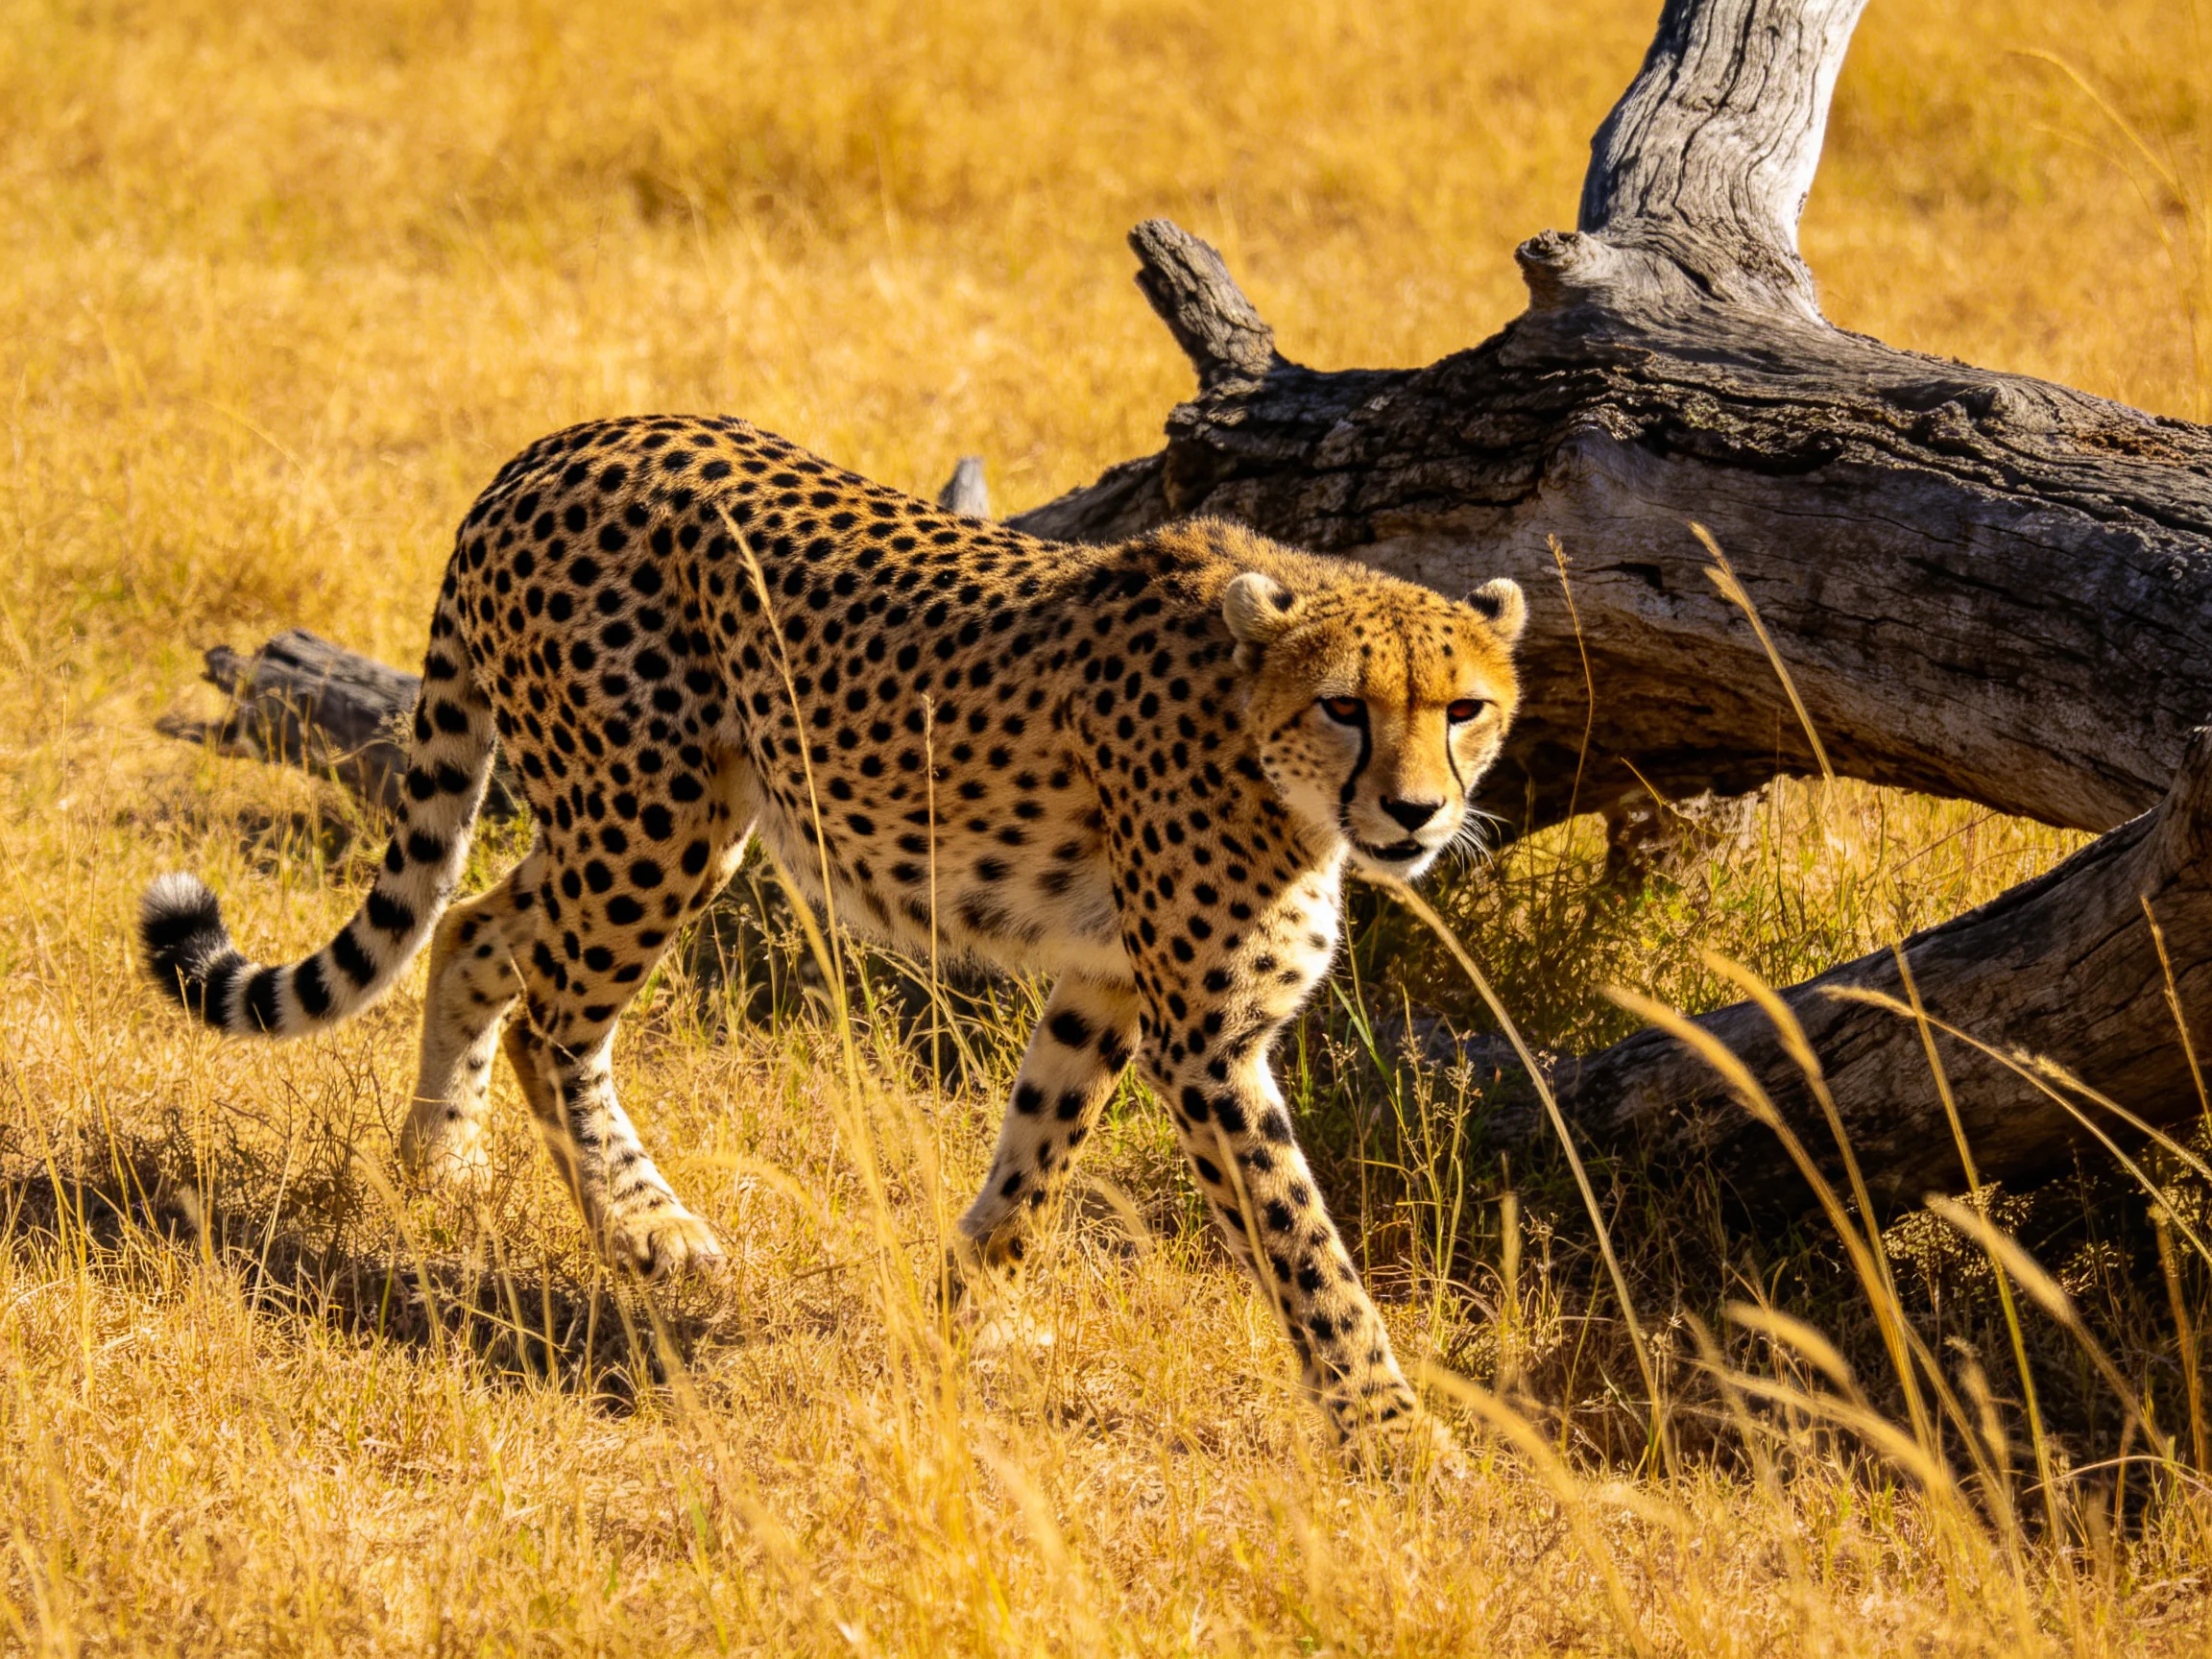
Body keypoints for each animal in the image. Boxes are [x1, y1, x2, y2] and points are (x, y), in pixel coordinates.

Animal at [139, 413, 1525, 1460]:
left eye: (1465, 709)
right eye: (1345, 706)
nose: (1417, 813)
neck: (1257, 732)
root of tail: (569, 438)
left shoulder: (1104, 985)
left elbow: (1034, 1158)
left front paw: (966, 1318)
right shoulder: (1208, 1038)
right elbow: (1304, 1244)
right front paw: (1398, 1437)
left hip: (653, 815)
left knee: (476, 925)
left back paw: (441, 1163)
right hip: (653, 816)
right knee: (551, 1024)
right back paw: (646, 1229)